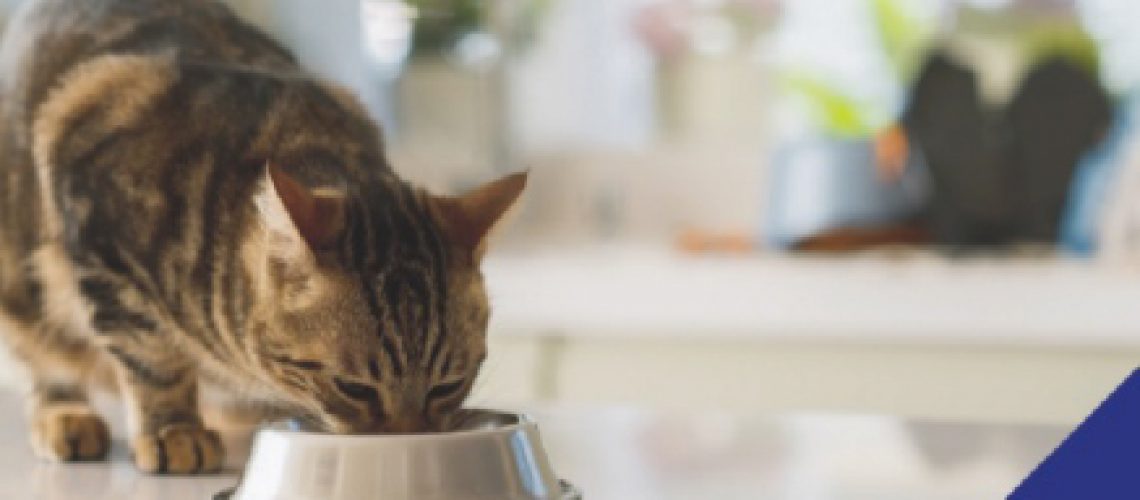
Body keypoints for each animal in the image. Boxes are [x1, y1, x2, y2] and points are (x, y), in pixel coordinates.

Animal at [0, 0, 524, 476]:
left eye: (447, 385)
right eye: (354, 388)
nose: (409, 441)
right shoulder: (101, 237)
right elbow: (152, 355)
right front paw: (174, 429)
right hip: (22, 290)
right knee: (46, 360)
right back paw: (65, 415)